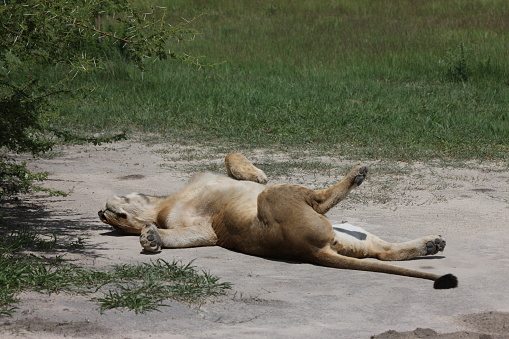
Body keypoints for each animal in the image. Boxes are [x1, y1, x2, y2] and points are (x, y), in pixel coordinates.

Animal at [98, 154, 456, 290]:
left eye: (116, 218)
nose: (102, 213)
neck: (164, 203)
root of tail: (309, 250)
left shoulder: (206, 226)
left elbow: (231, 158)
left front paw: (152, 238)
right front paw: (151, 237)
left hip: (353, 234)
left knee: (383, 252)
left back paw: (431, 244)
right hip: (279, 196)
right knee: (324, 200)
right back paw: (357, 174)